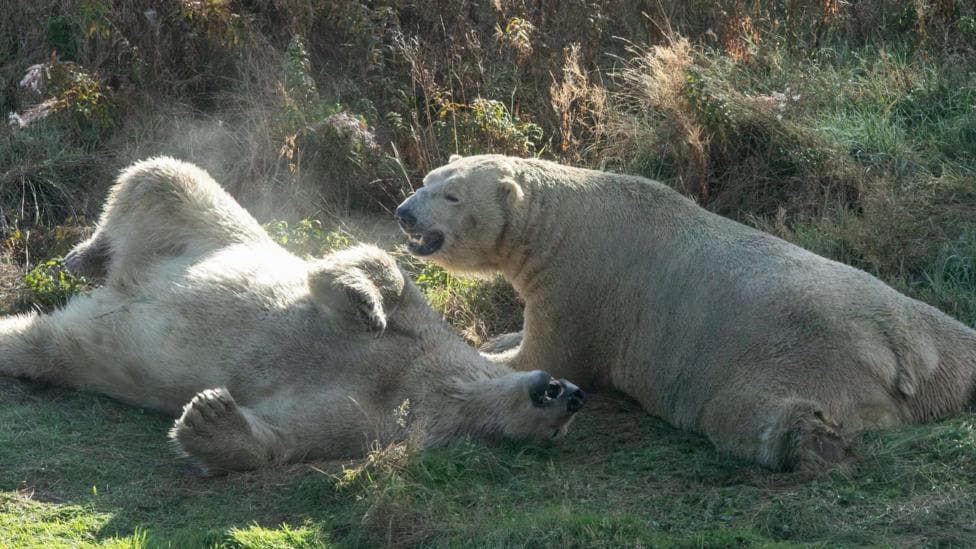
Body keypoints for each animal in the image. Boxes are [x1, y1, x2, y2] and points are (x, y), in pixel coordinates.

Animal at [0, 157, 585, 474]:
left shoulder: (370, 426)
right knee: (164, 178)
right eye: (562, 402)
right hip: (212, 228)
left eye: (555, 434)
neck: (421, 379)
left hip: (76, 346)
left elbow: (287, 436)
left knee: (36, 343)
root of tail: (123, 282)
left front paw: (210, 416)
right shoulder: (425, 333)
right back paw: (85, 254)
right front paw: (363, 302)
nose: (572, 393)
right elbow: (374, 269)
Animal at [394, 153, 976, 472]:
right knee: (960, 345)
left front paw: (495, 352)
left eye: (451, 195)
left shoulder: (582, 284)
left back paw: (813, 442)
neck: (559, 222)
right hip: (932, 329)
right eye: (427, 179)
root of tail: (897, 346)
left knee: (746, 412)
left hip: (793, 354)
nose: (403, 213)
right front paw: (498, 338)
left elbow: (551, 352)